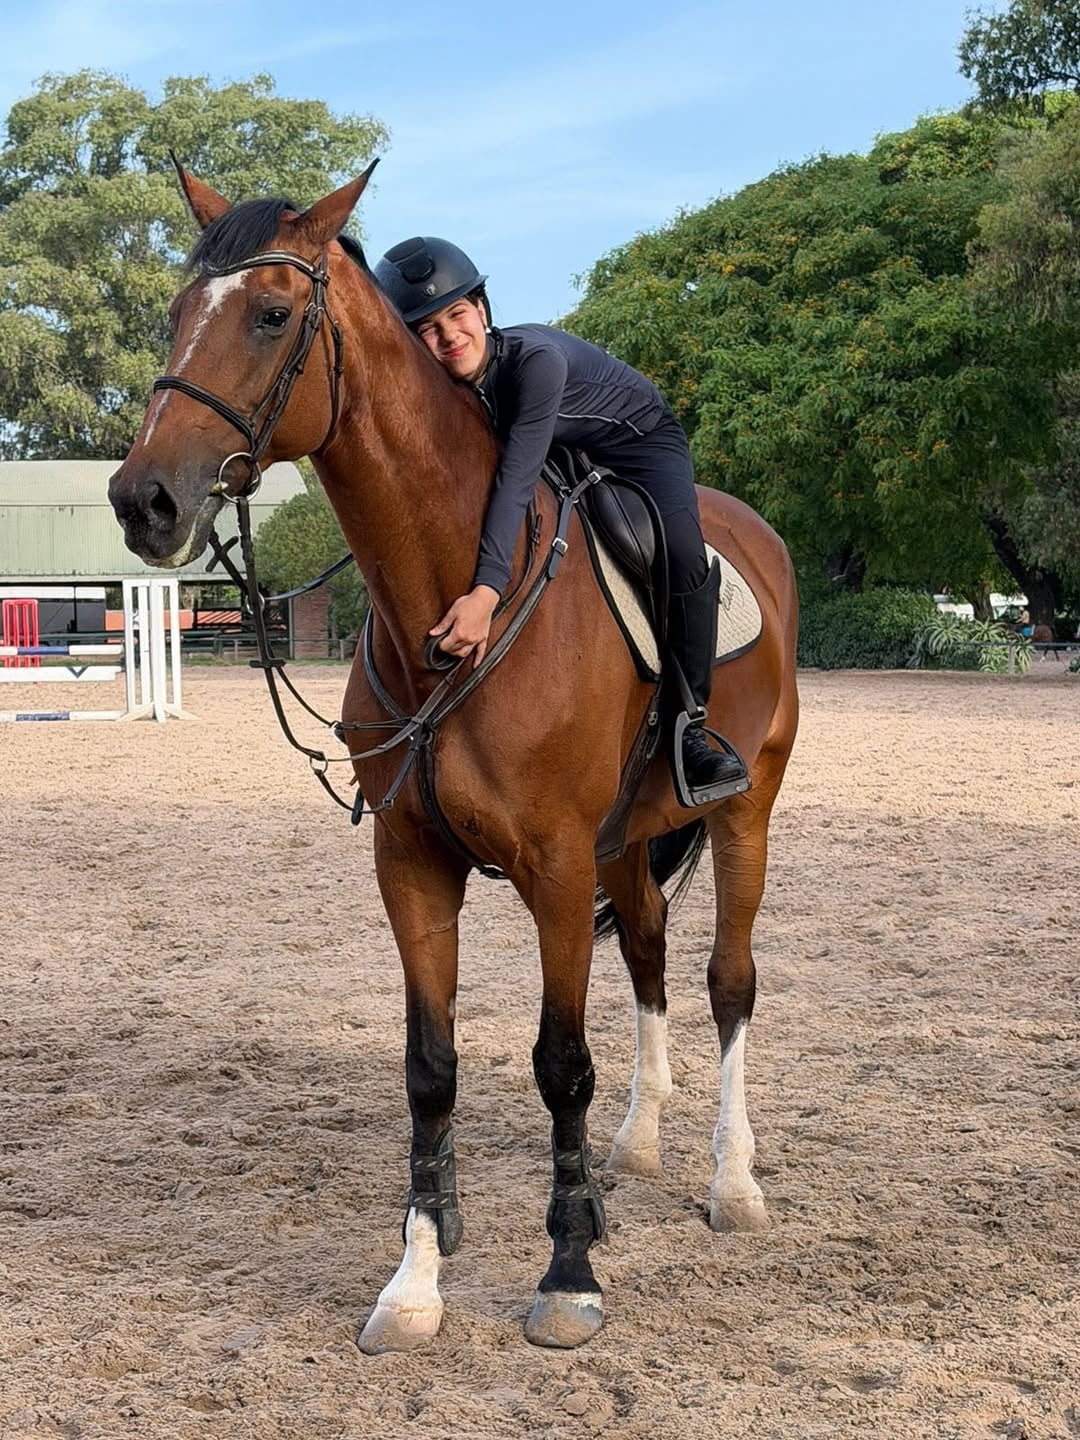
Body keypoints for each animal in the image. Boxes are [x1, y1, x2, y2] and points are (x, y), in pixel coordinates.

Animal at [108, 164, 799, 1353]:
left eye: (271, 315)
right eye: (177, 313)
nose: (142, 499)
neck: (447, 593)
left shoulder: (555, 868)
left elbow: (559, 1065)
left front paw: (568, 1274)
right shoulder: (414, 865)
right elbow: (430, 1069)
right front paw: (417, 1281)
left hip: (737, 818)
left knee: (727, 981)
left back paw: (732, 1183)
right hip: (627, 844)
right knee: (651, 956)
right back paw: (636, 1150)